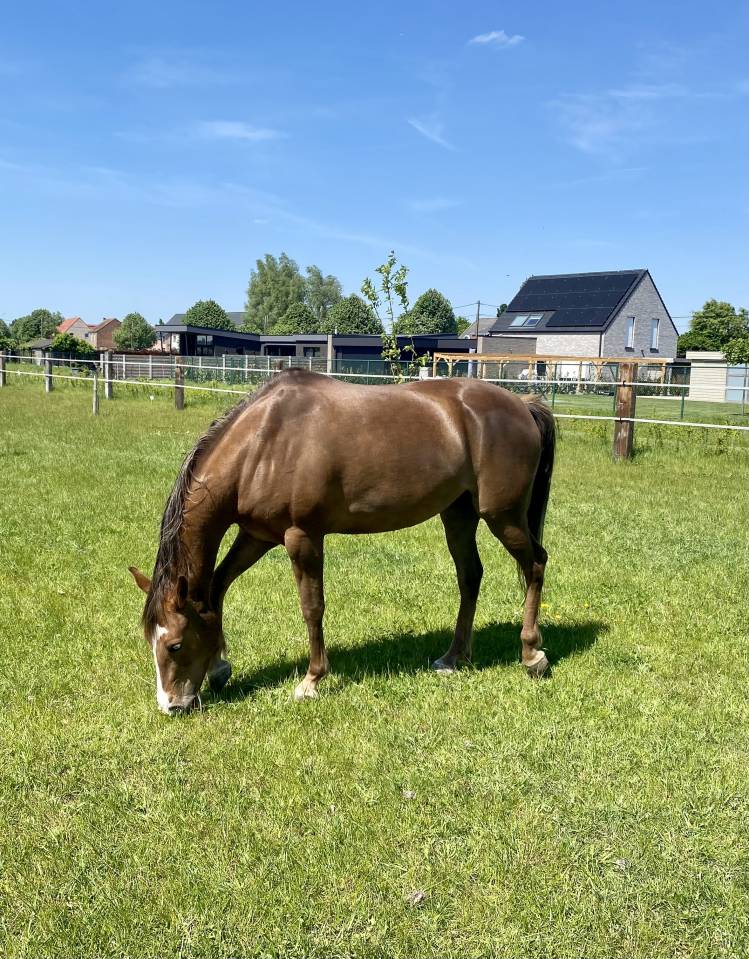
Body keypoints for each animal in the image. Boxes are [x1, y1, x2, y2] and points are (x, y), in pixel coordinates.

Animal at [129, 368, 556, 714]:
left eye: (175, 645)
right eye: (152, 640)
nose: (171, 705)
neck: (264, 442)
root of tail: (521, 404)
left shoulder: (302, 537)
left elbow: (312, 607)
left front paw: (311, 680)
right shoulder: (257, 536)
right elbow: (217, 589)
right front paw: (220, 667)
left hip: (503, 516)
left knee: (535, 564)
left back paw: (531, 654)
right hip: (459, 515)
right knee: (470, 577)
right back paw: (454, 658)